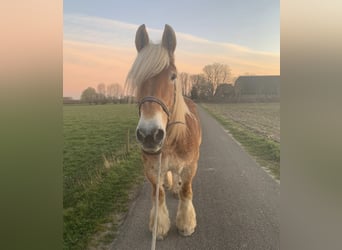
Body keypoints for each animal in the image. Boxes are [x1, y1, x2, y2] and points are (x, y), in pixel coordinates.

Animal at [125, 24, 202, 239]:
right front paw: (159, 226)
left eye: (173, 76)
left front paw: (186, 224)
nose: (149, 135)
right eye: (137, 79)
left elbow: (186, 191)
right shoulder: (151, 169)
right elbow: (157, 195)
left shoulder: (190, 166)